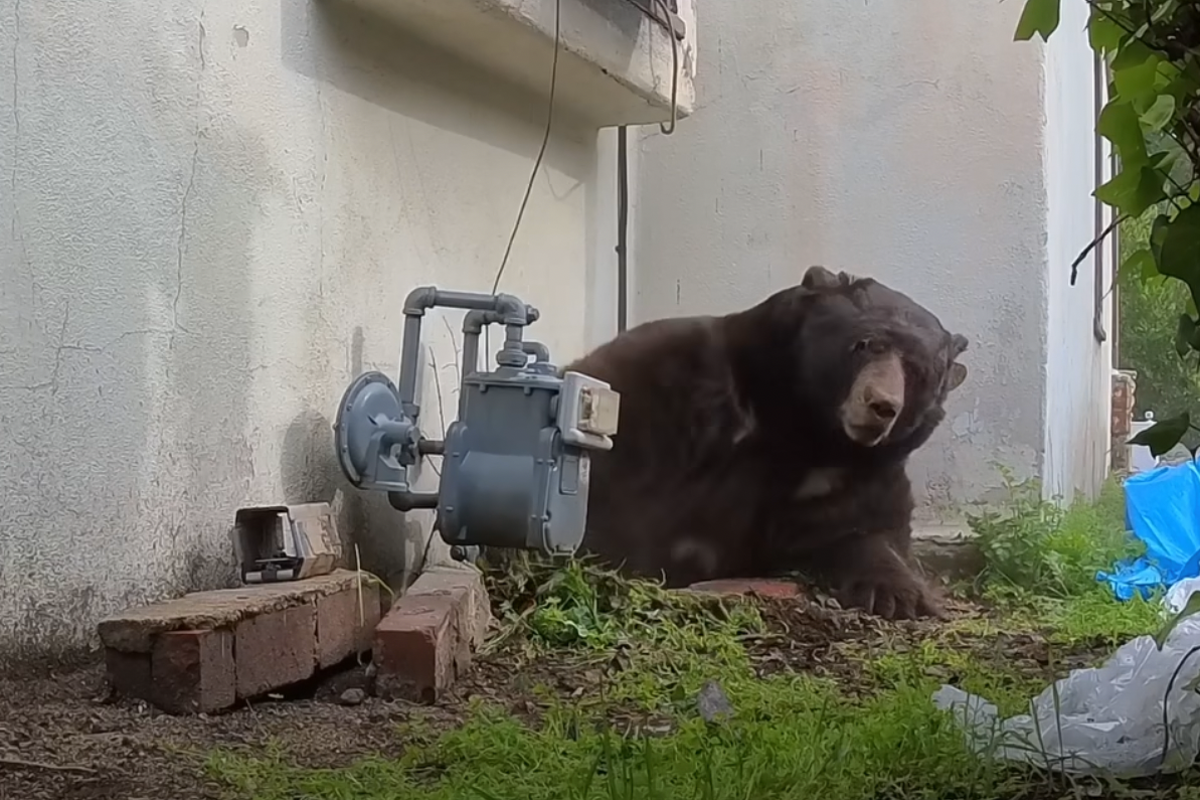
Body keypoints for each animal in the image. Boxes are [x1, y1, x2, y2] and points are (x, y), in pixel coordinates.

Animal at [563, 265, 969, 620]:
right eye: (865, 344)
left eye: (917, 370)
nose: (881, 404)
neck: (803, 427)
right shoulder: (677, 381)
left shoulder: (855, 475)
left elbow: (865, 528)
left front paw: (899, 595)